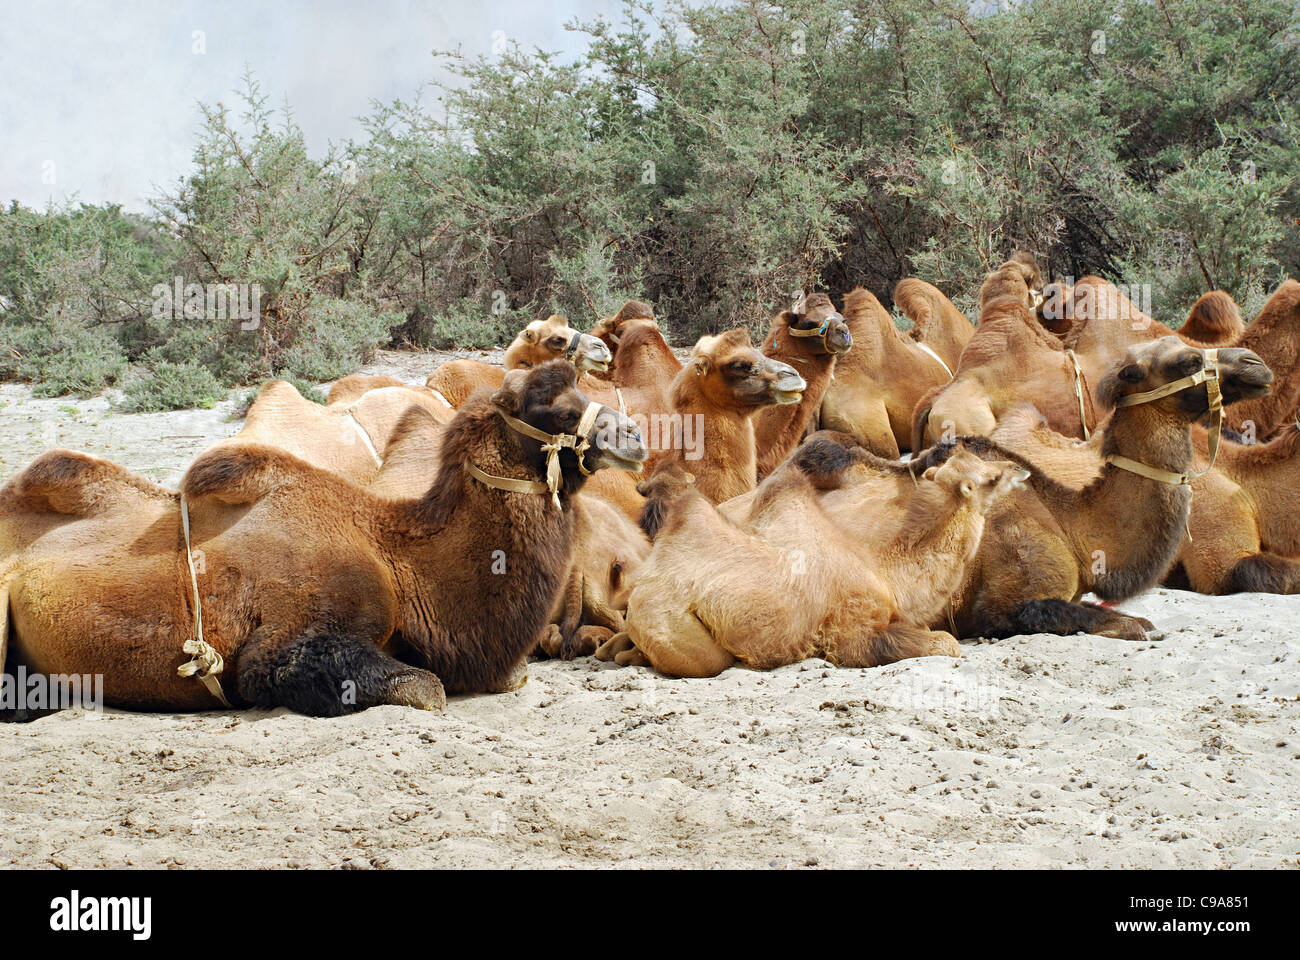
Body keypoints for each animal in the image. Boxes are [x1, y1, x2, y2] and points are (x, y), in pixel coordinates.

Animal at [0, 361, 650, 712]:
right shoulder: (282, 644)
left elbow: (506, 674)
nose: (635, 435)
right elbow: (426, 688)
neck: (401, 560)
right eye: (548, 406)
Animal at [595, 434, 1024, 671]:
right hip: (671, 624)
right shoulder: (853, 633)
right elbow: (946, 643)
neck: (883, 568)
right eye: (990, 478)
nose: (1018, 469)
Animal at [904, 333, 1268, 640]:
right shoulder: (1005, 604)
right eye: (1188, 361)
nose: (1255, 363)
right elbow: (1108, 620)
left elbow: (1119, 614)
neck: (1071, 526)